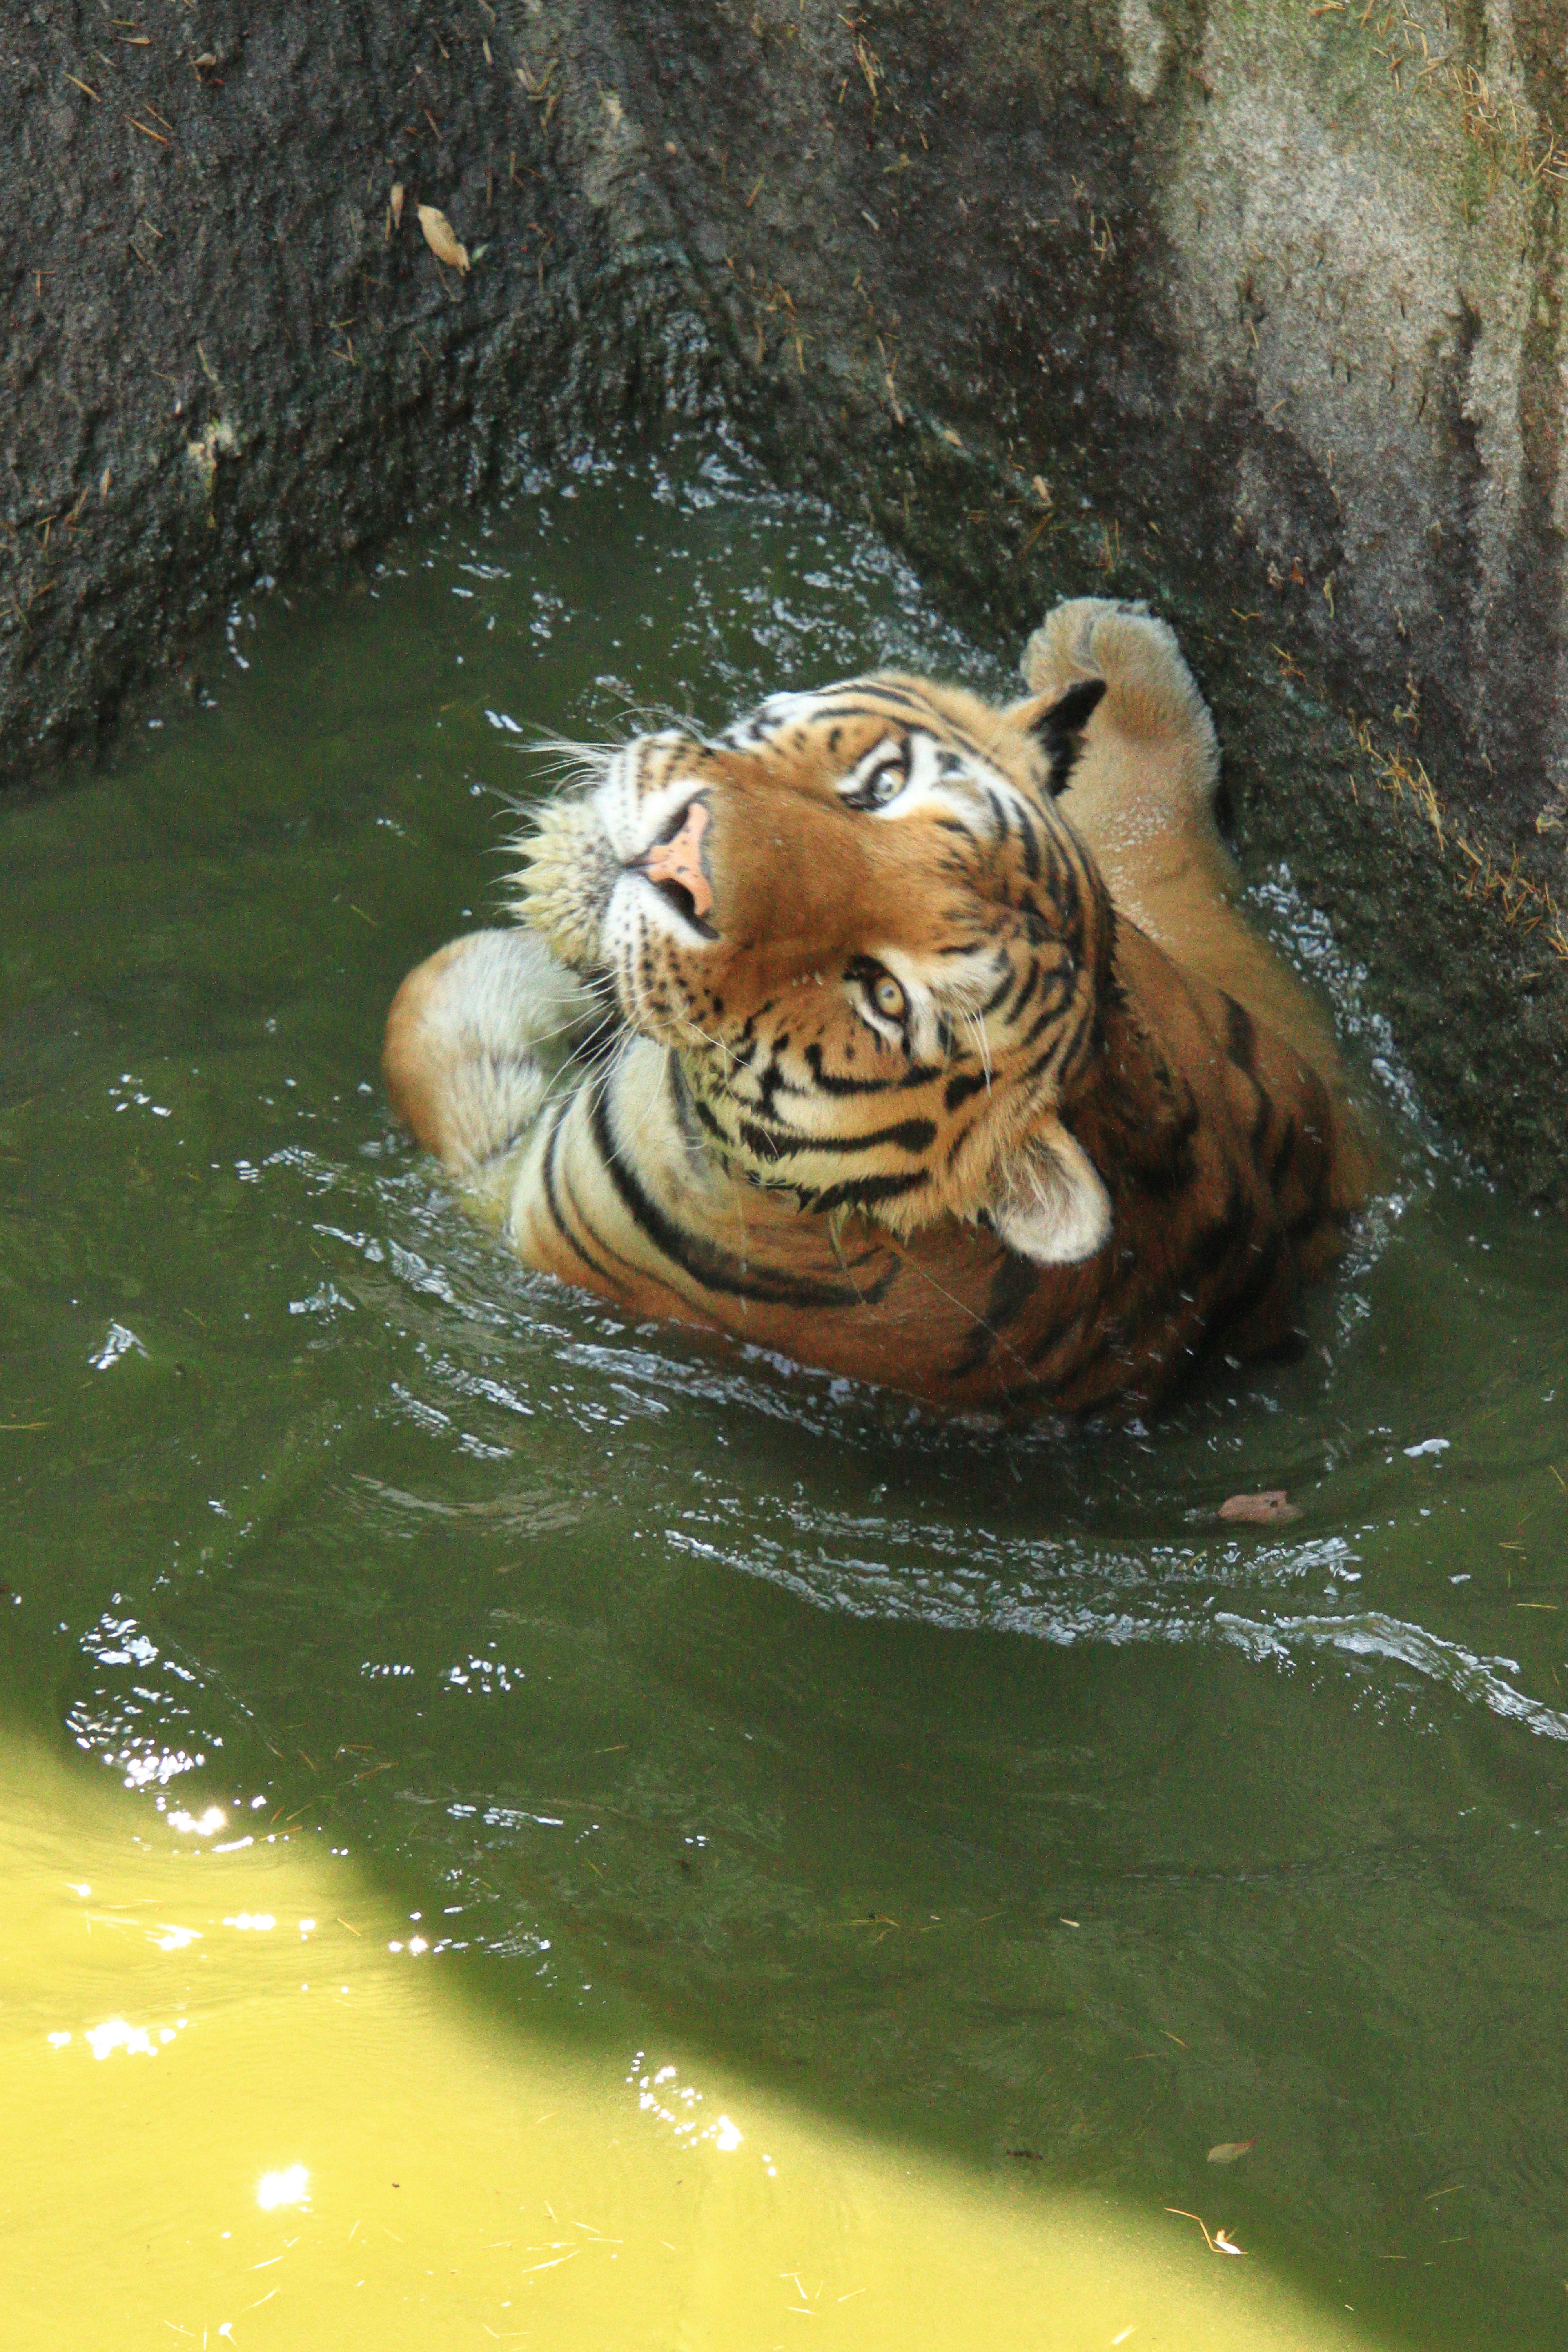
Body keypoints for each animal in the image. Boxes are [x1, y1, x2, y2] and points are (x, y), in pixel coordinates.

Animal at [385, 607, 1363, 1411]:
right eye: (886, 784)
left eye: (885, 997)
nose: (680, 861)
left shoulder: (527, 1215)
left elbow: (426, 1008)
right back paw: (1104, 646)